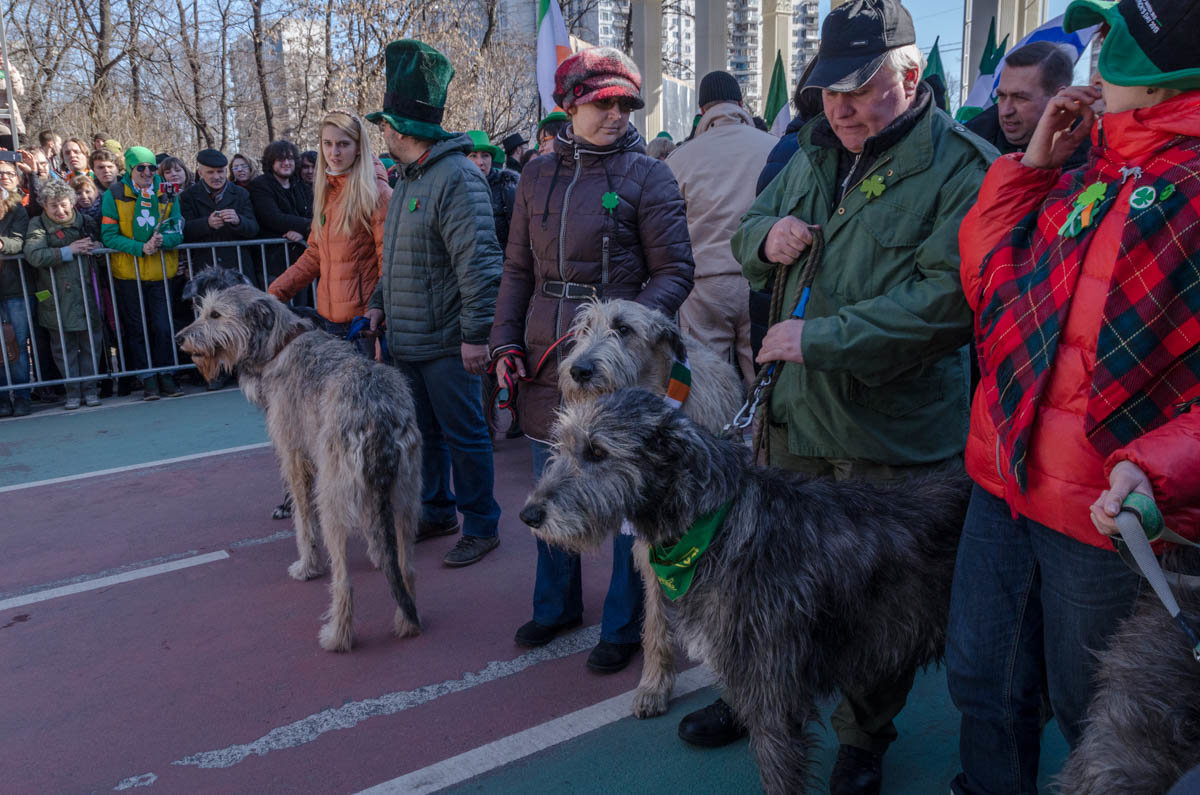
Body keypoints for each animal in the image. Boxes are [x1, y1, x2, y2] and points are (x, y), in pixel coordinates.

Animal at [175, 287, 422, 653]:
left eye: (215, 315)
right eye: (202, 310)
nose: (179, 338)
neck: (281, 344)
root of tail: (376, 415)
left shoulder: (295, 459)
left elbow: (303, 522)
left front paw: (307, 566)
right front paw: (377, 554)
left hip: (333, 499)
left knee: (343, 581)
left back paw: (337, 636)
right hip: (406, 494)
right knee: (407, 568)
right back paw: (407, 622)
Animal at [520, 389, 969, 792]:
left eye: (597, 452)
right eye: (562, 446)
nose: (529, 515)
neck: (715, 525)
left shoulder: (773, 685)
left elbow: (778, 770)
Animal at [556, 300, 744, 720]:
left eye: (624, 329)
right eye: (584, 328)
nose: (579, 370)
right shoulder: (653, 542)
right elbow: (656, 617)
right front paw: (654, 685)